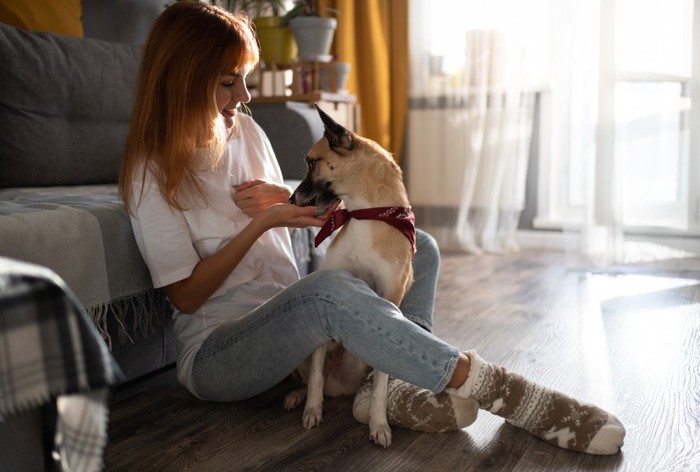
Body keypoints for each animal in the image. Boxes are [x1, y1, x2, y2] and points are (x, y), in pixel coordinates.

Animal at [286, 105, 416, 448]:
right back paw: (297, 395)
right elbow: (315, 373)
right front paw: (312, 408)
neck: (365, 214)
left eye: (311, 162)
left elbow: (382, 378)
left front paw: (378, 423)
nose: (289, 200)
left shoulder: (390, 303)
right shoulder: (326, 292)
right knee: (310, 374)